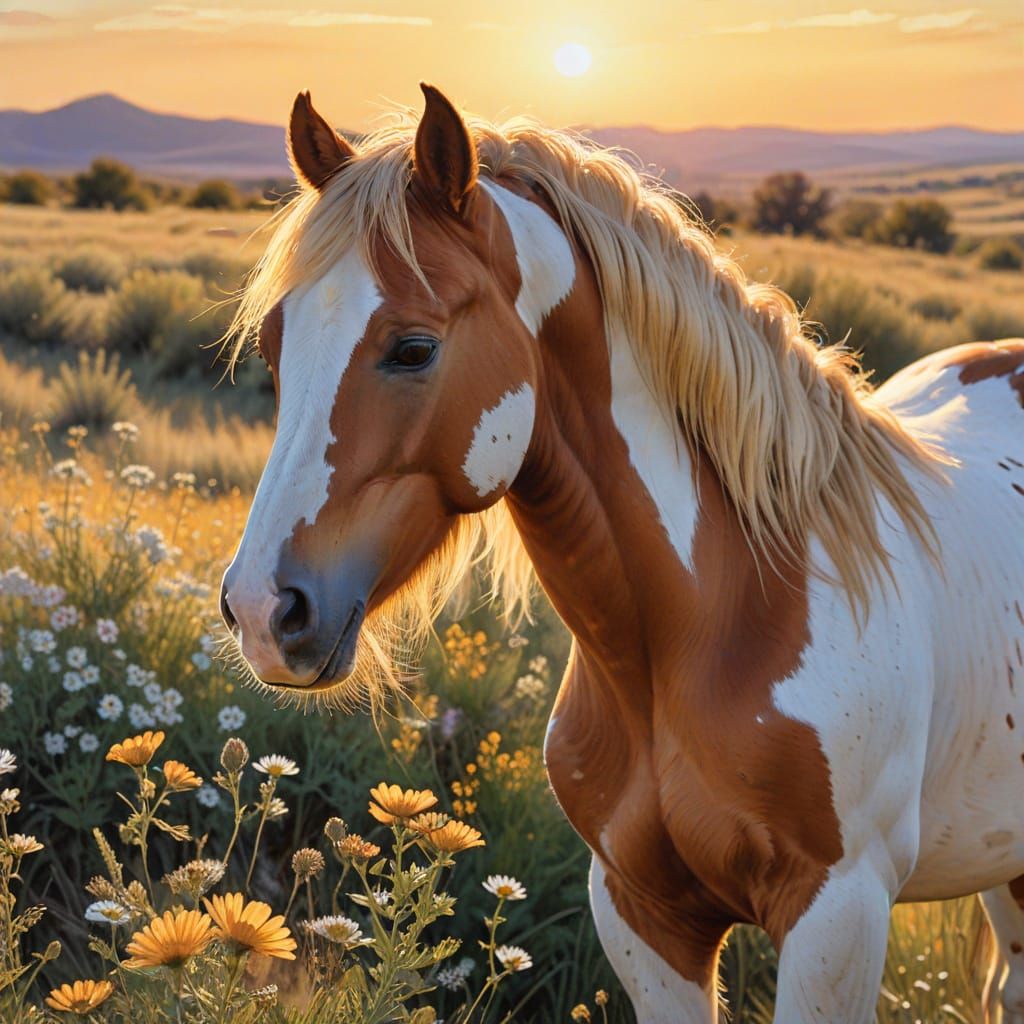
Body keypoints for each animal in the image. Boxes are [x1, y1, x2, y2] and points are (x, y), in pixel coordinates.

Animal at [219, 84, 1024, 1022]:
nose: (262, 611)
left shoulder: (838, 918)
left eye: (413, 348)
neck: (724, 620)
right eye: (273, 347)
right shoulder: (643, 916)